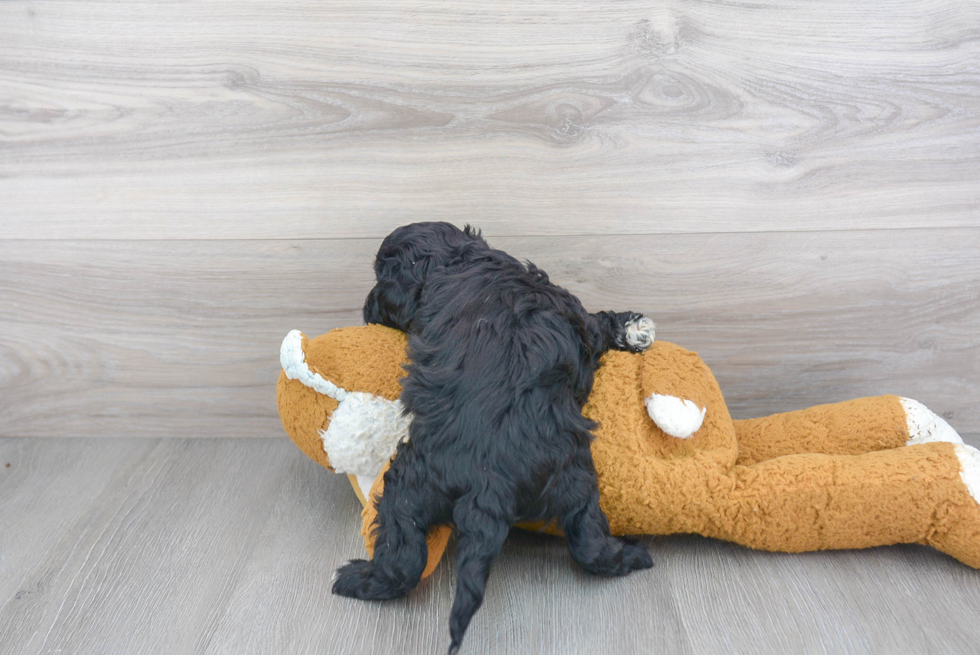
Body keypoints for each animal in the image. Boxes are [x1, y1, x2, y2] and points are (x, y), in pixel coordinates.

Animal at [334, 223, 656, 652]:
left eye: (379, 279)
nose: (367, 309)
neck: (455, 259)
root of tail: (490, 480)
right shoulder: (575, 314)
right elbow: (597, 322)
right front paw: (635, 327)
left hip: (412, 486)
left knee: (405, 554)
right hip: (573, 480)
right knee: (589, 541)